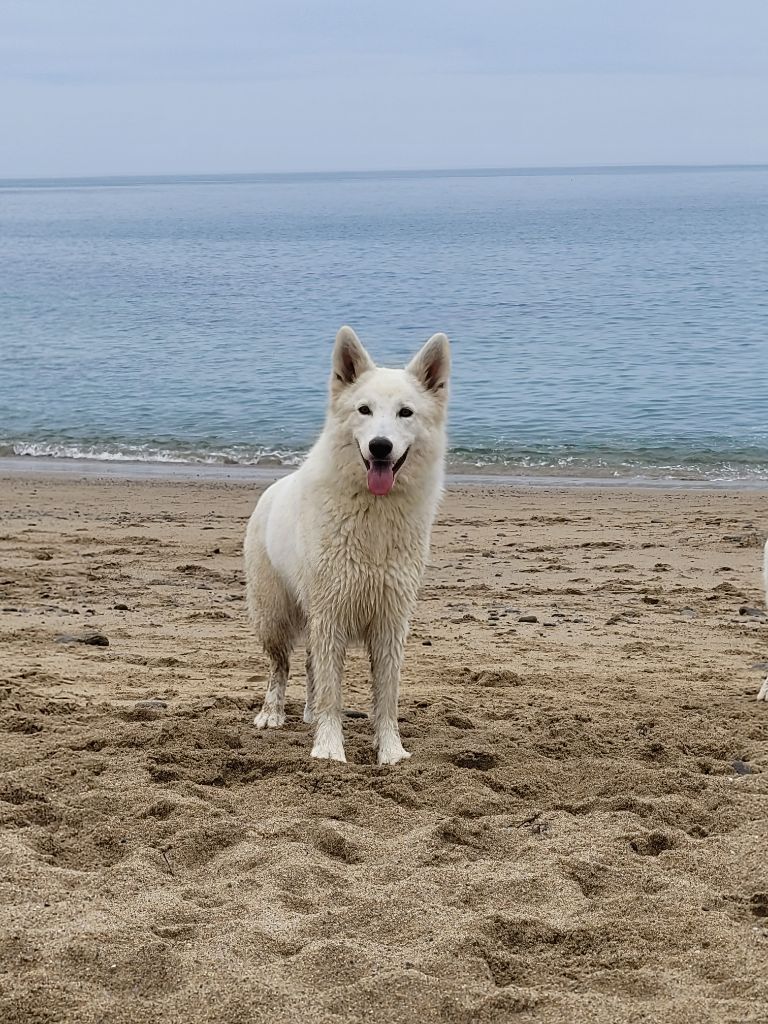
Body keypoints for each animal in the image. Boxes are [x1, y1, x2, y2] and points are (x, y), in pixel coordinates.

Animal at [246, 323, 450, 765]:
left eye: (405, 413)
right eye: (364, 410)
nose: (380, 446)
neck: (373, 511)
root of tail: (271, 489)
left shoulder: (390, 621)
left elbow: (386, 698)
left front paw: (390, 751)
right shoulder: (332, 613)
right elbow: (332, 694)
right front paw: (329, 749)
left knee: (308, 665)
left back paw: (306, 712)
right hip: (274, 616)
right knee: (280, 667)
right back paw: (272, 714)